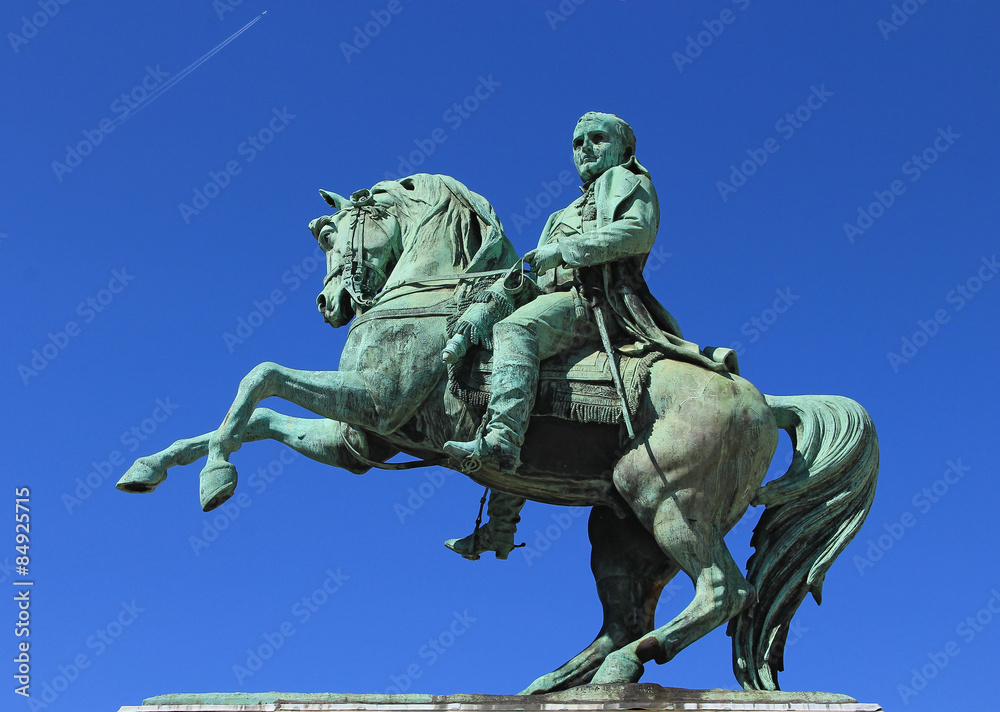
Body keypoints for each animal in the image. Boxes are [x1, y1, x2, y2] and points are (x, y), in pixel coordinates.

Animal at [117, 174, 876, 696]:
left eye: (331, 236)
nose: (330, 304)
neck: (432, 296)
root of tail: (764, 401)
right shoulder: (358, 440)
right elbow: (252, 415)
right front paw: (154, 467)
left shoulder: (373, 403)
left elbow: (258, 377)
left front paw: (215, 480)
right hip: (620, 530)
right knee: (626, 615)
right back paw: (556, 682)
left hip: (666, 502)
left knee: (722, 590)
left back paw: (622, 668)